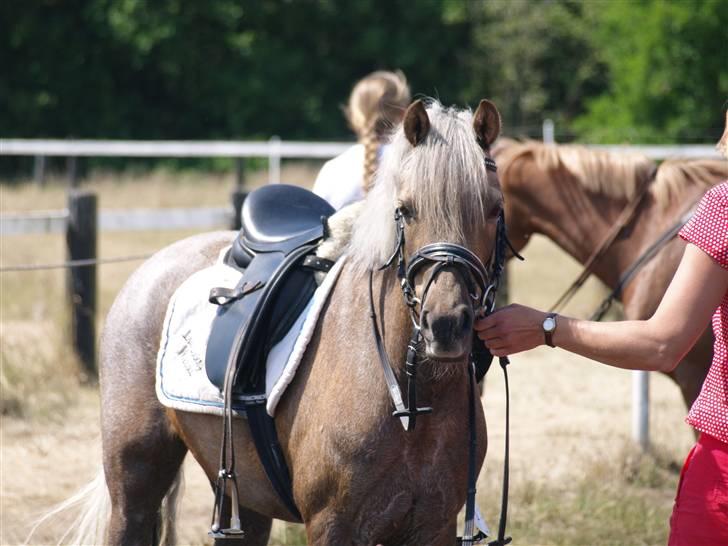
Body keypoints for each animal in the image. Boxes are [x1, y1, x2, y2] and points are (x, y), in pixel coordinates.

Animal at [63, 99, 506, 546]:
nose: (445, 324)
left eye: (494, 209)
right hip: (135, 484)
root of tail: (151, 268)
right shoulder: (331, 524)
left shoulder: (435, 524)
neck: (408, 396)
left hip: (242, 497)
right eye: (405, 210)